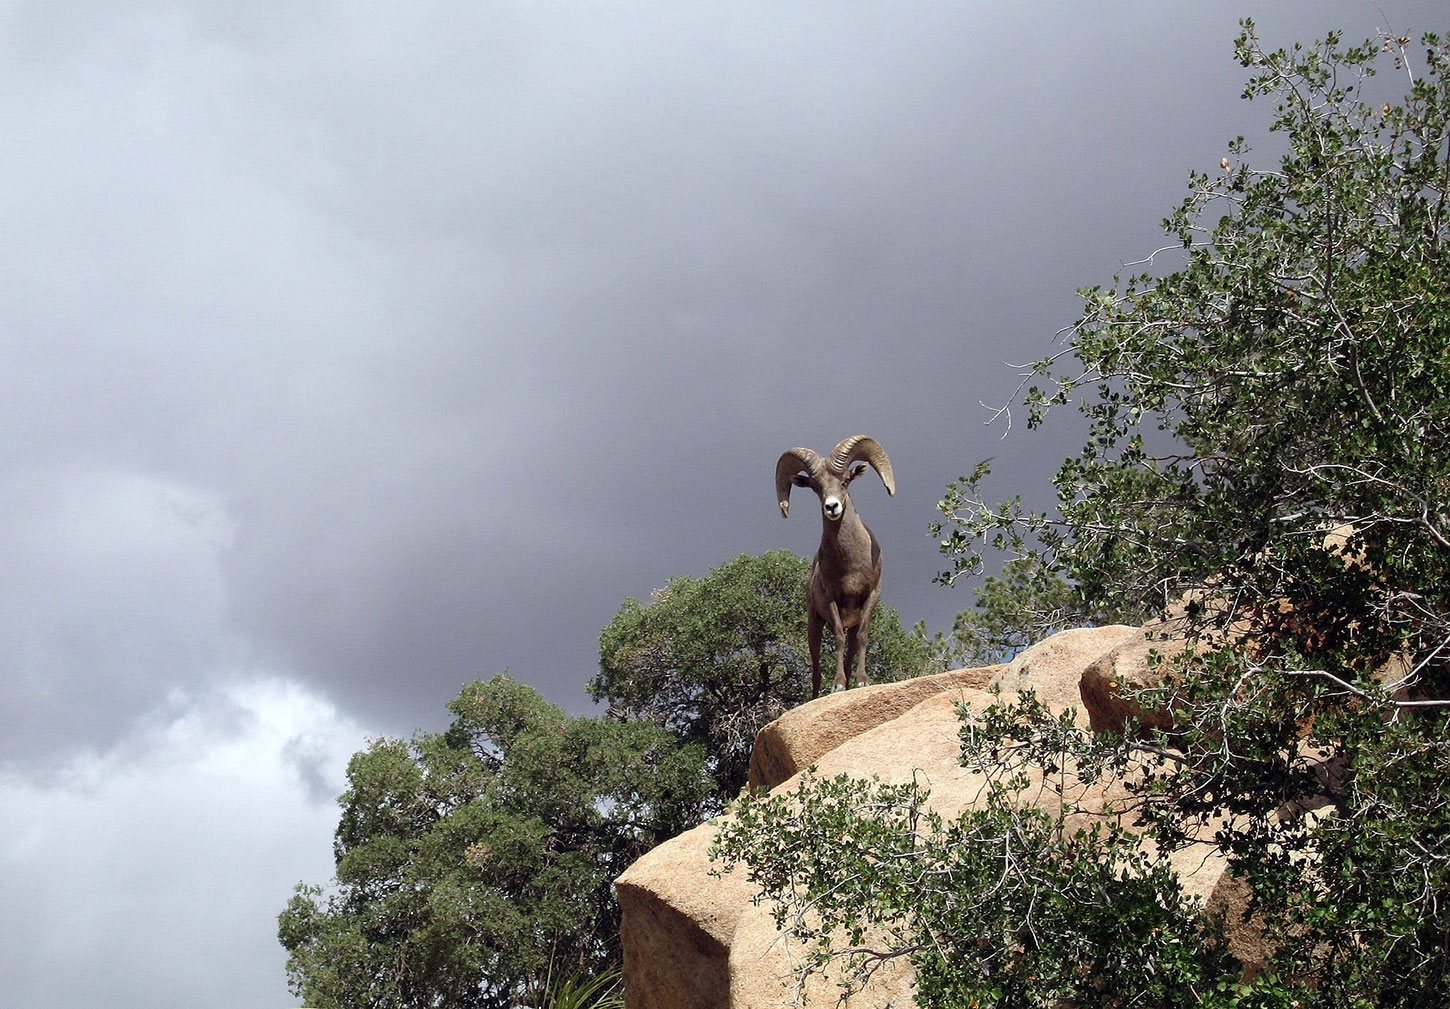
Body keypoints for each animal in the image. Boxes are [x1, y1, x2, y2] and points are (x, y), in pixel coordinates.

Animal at [775, 436, 896, 697]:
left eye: (845, 481)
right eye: (816, 487)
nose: (832, 507)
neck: (851, 565)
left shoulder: (870, 596)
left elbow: (862, 636)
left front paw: (862, 681)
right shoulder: (832, 599)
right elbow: (839, 638)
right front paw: (838, 685)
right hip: (814, 624)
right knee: (816, 667)